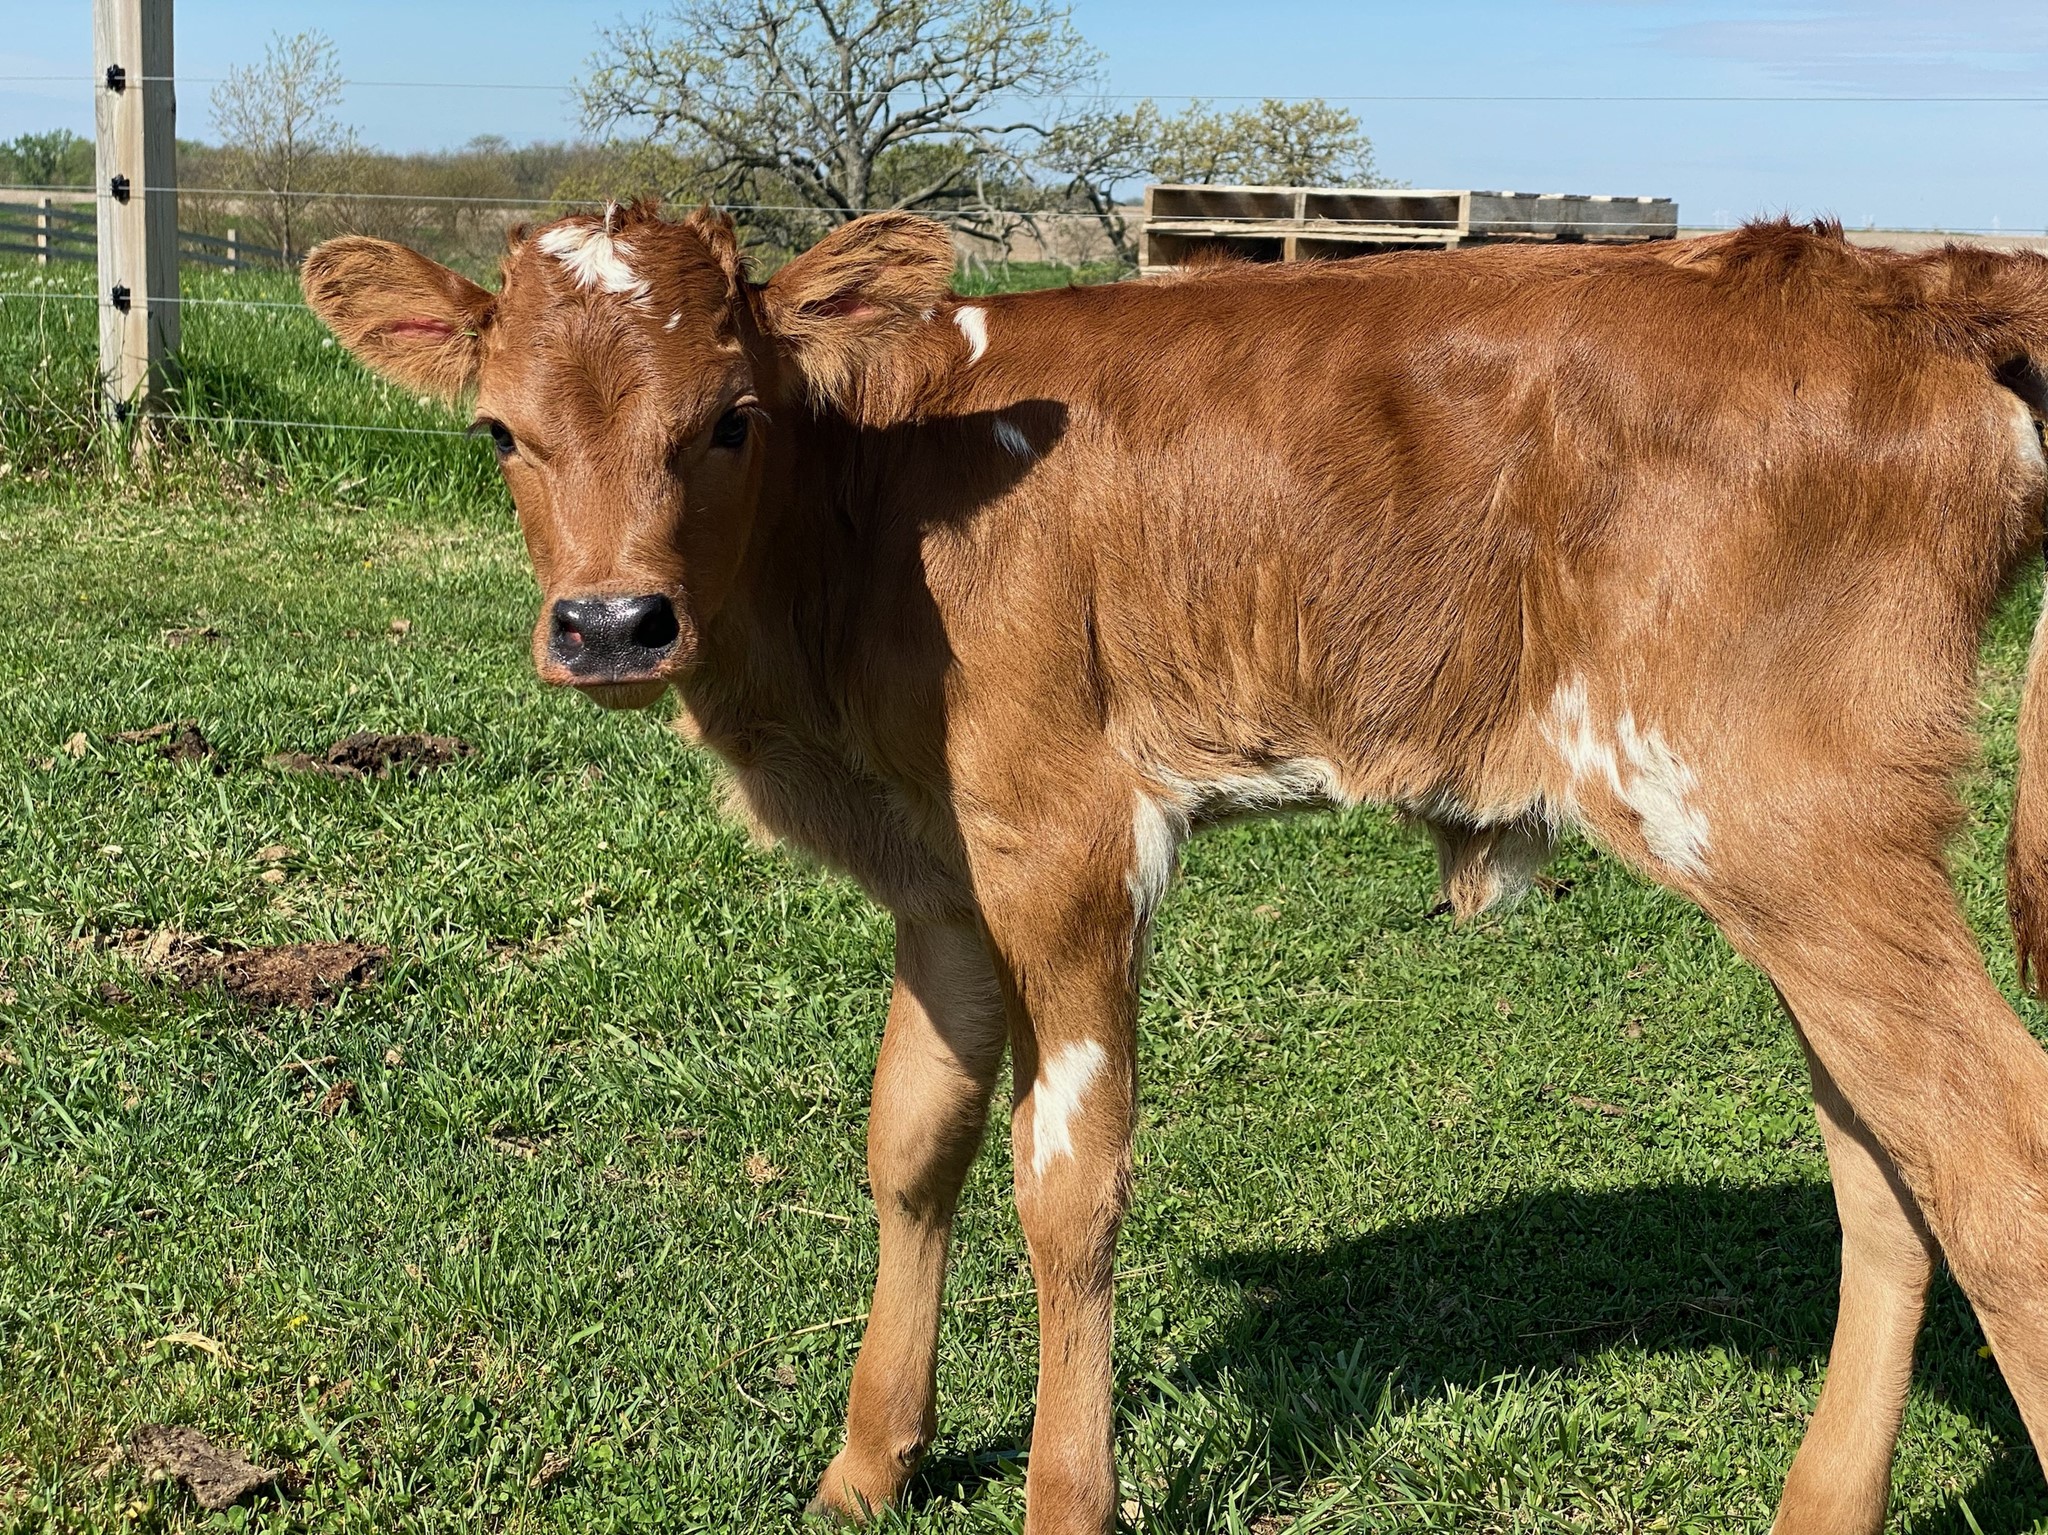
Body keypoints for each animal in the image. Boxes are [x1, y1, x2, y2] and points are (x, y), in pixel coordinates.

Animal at [304, 201, 2048, 1533]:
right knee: (1889, 1167)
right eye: (499, 429)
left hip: (1790, 822)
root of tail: (1884, 278)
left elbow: (1066, 1174)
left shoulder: (1067, 831)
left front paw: (1064, 1495)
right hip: (1797, 863)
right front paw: (868, 1463)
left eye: (726, 417)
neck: (870, 507)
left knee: (1993, 1160)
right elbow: (912, 1135)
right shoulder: (945, 868)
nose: (611, 622)